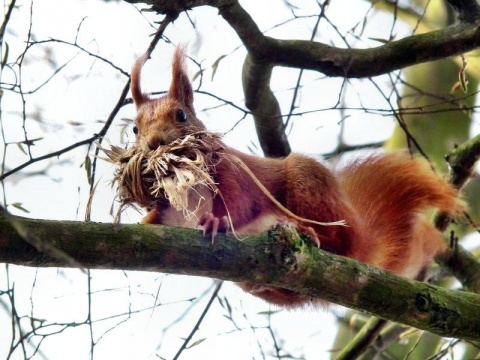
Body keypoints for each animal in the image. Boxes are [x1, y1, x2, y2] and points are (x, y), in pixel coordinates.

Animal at [130, 47, 462, 306]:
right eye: (134, 128)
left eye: (181, 115)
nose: (154, 143)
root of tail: (365, 244)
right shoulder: (169, 212)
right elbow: (155, 221)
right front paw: (141, 223)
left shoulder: (234, 173)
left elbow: (240, 205)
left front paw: (217, 222)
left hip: (309, 186)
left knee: (340, 241)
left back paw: (310, 233)